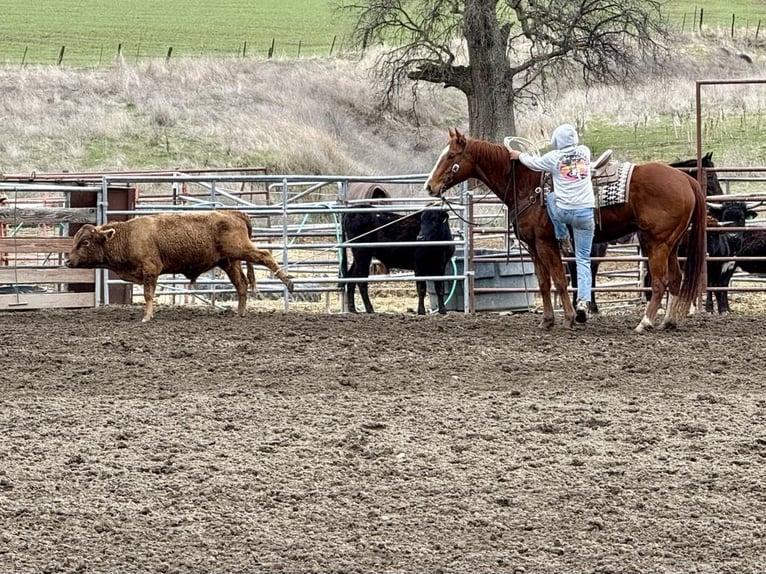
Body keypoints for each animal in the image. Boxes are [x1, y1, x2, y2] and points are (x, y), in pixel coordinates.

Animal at [424, 128, 707, 333]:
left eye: (451, 156)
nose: (429, 186)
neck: (529, 185)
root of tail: (685, 178)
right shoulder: (533, 247)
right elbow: (543, 283)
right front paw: (547, 320)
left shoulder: (546, 243)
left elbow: (560, 281)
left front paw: (570, 317)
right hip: (671, 244)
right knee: (675, 279)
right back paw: (668, 322)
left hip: (656, 243)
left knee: (660, 282)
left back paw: (645, 323)